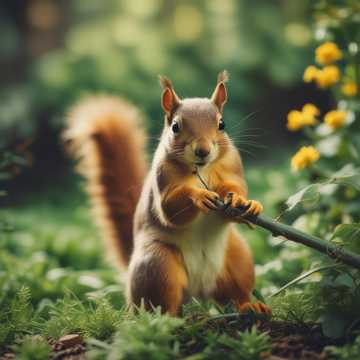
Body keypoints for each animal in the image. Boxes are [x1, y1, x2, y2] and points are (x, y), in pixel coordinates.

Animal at [64, 71, 272, 316]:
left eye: (222, 124)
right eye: (175, 127)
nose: (203, 151)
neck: (201, 169)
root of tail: (198, 289)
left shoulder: (231, 167)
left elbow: (234, 189)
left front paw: (245, 202)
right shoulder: (163, 179)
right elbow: (169, 210)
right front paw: (199, 196)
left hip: (237, 259)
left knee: (235, 293)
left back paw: (250, 305)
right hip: (158, 267)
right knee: (160, 307)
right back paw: (169, 318)